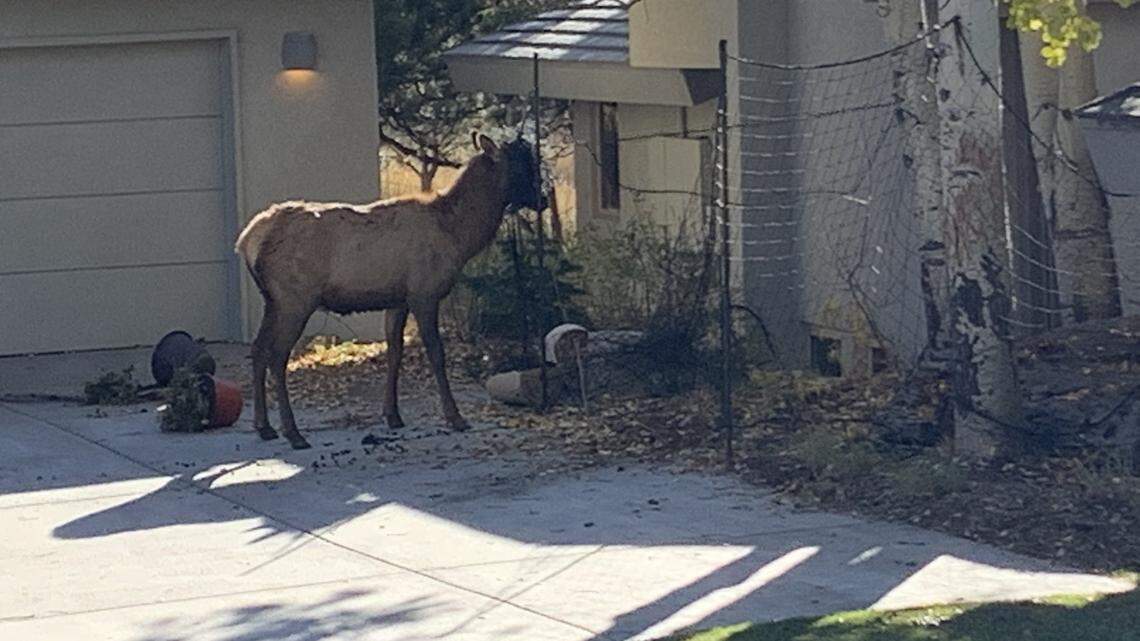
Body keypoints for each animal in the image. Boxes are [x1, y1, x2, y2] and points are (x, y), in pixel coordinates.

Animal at [235, 133, 545, 449]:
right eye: (521, 167)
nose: (543, 200)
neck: (458, 237)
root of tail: (247, 242)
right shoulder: (424, 292)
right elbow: (436, 352)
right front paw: (455, 417)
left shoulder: (398, 299)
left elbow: (395, 352)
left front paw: (393, 415)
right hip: (295, 299)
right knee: (277, 355)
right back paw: (293, 433)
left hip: (273, 301)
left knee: (259, 350)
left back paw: (265, 427)